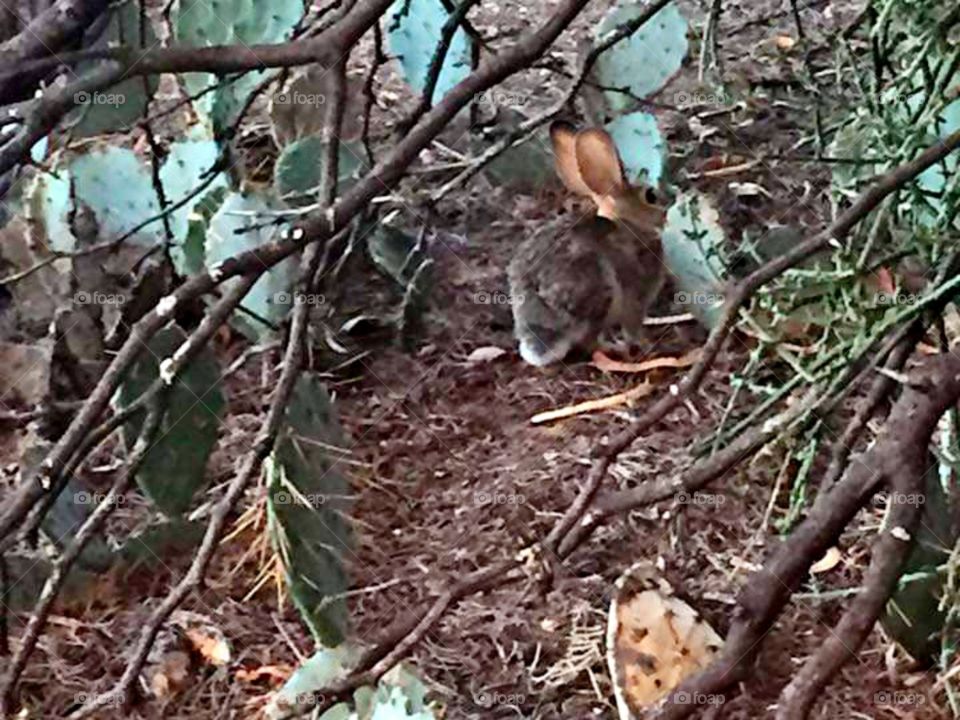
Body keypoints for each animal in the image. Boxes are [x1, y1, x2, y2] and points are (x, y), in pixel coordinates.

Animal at [507, 121, 666, 366]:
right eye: (651, 196)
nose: (667, 211)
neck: (628, 221)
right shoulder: (636, 296)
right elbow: (632, 326)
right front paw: (644, 344)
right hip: (598, 296)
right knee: (589, 342)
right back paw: (615, 348)